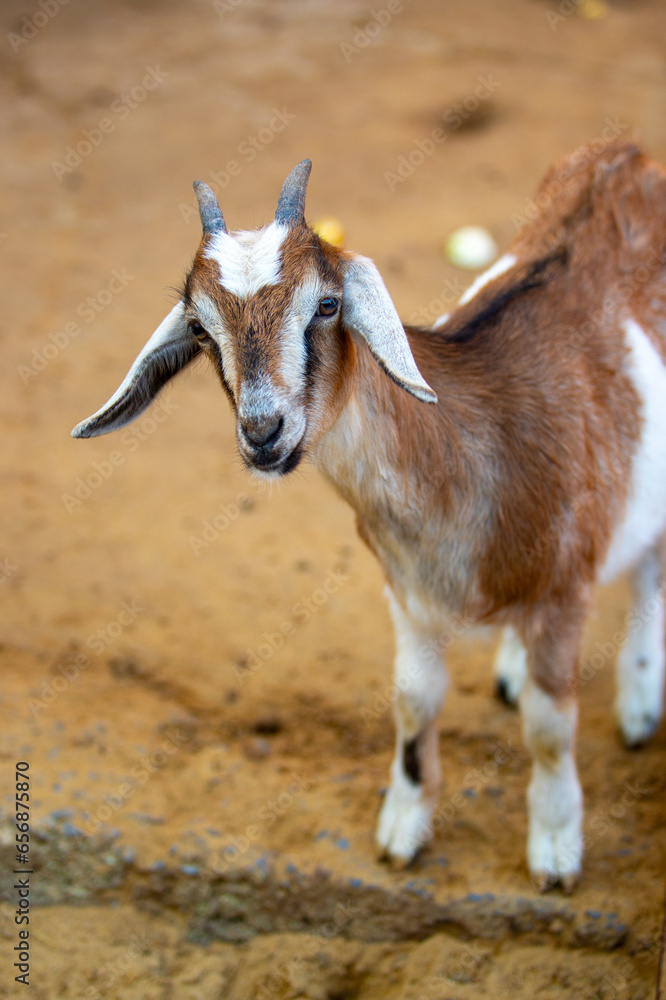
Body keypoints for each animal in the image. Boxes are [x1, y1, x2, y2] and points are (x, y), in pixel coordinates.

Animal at [71, 143, 664, 892]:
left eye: (327, 304)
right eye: (201, 329)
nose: (263, 432)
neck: (473, 447)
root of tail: (625, 153)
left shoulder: (563, 592)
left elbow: (550, 727)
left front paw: (556, 849)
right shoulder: (406, 594)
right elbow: (413, 702)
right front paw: (403, 827)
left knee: (649, 569)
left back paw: (640, 698)